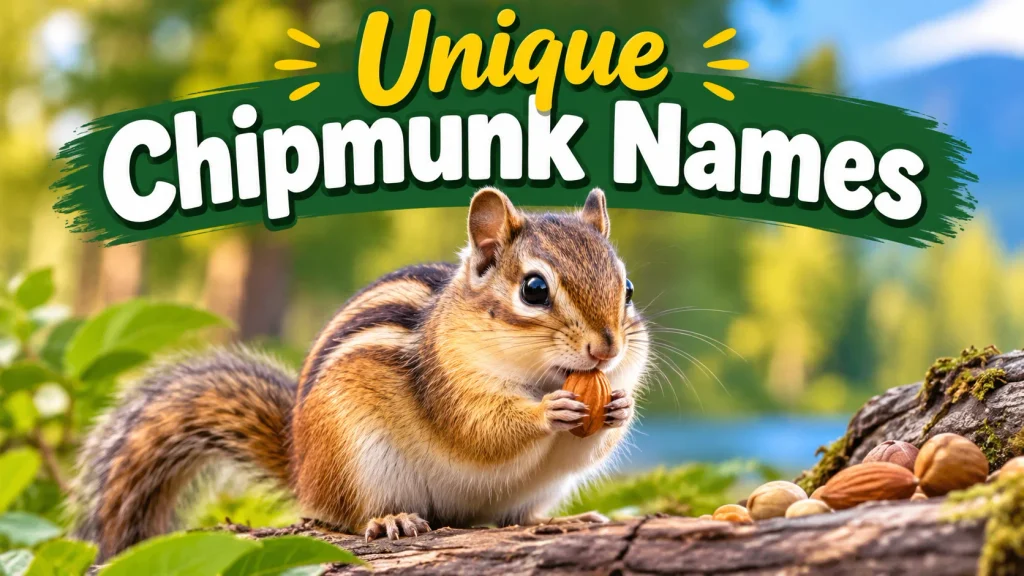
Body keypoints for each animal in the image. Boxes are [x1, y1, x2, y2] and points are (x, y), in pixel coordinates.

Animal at [70, 187, 650, 560]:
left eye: (627, 288)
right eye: (533, 289)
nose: (607, 347)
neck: (542, 373)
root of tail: (301, 466)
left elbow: (584, 447)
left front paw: (619, 409)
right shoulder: (447, 383)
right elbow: (480, 430)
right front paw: (549, 411)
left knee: (518, 518)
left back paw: (559, 521)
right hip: (355, 457)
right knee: (347, 516)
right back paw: (390, 518)